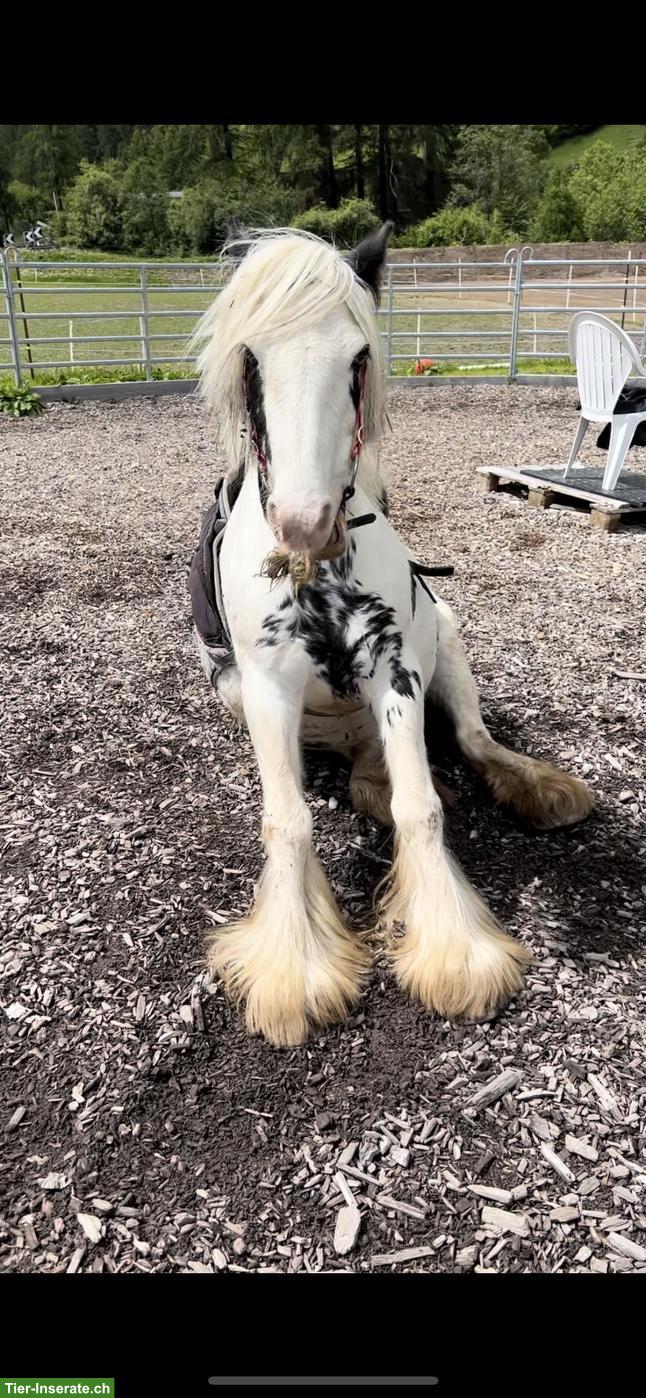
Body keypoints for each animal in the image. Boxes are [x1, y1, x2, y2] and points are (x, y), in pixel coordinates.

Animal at [190, 224, 593, 1047]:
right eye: (251, 358)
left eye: (358, 358)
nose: (305, 523)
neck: (320, 573)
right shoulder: (267, 688)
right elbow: (289, 820)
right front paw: (295, 970)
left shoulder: (396, 670)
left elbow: (421, 807)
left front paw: (454, 950)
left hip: (450, 643)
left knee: (467, 745)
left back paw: (540, 788)